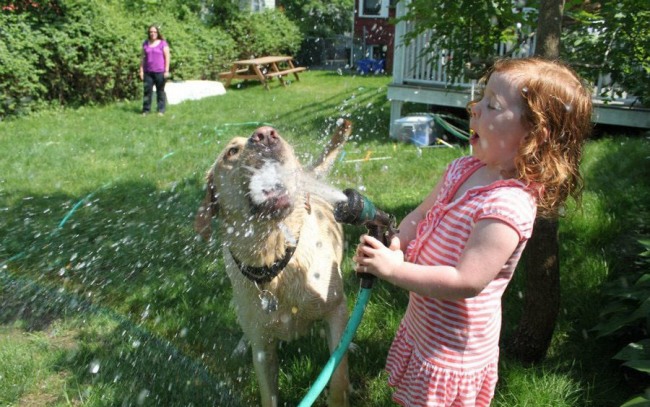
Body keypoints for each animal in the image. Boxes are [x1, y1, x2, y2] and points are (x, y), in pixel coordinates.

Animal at [195, 121, 352, 407]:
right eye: (231, 152)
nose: (266, 134)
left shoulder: (334, 309)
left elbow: (337, 376)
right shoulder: (263, 349)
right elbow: (268, 393)